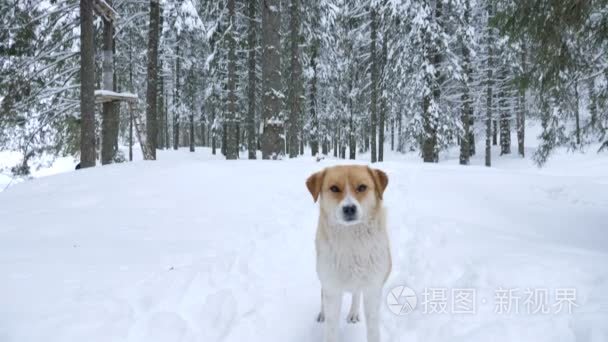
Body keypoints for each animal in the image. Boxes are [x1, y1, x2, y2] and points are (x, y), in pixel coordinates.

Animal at [306, 165, 392, 342]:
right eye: (334, 188)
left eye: (362, 187)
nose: (349, 208)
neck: (351, 240)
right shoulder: (331, 287)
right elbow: (331, 329)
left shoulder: (372, 289)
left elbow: (373, 330)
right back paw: (322, 313)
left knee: (356, 294)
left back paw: (353, 313)